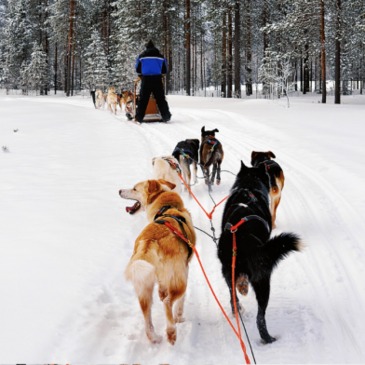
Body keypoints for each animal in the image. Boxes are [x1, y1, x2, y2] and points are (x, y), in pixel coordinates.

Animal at [118, 179, 195, 344]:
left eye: (134, 188)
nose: (119, 190)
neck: (167, 208)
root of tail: (150, 241)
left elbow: (162, 289)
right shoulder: (185, 269)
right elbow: (181, 303)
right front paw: (179, 317)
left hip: (144, 287)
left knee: (148, 320)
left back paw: (154, 337)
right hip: (179, 281)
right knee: (168, 302)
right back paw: (171, 331)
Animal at [218, 161, 300, 342]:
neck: (249, 186)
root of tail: (241, 237)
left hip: (228, 272)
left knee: (233, 298)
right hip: (263, 280)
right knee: (260, 318)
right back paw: (268, 338)